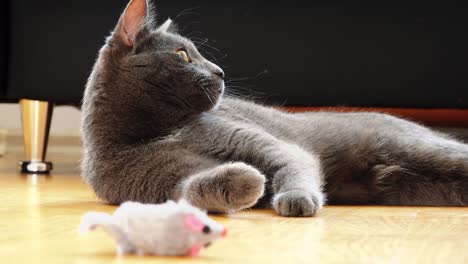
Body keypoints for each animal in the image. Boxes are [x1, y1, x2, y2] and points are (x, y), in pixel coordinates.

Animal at [80, 0, 468, 217]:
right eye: (183, 55)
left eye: (194, 52)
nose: (220, 72)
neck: (158, 132)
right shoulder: (159, 184)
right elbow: (191, 191)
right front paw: (246, 181)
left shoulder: (263, 143)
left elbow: (290, 163)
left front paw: (293, 196)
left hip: (412, 147)